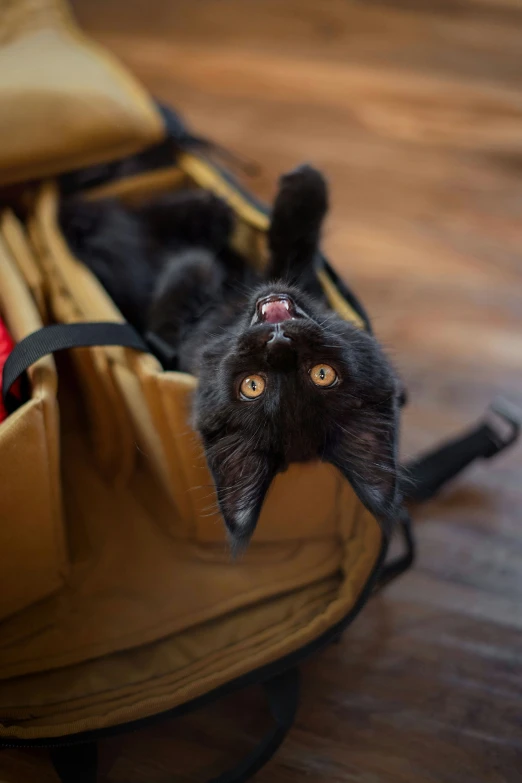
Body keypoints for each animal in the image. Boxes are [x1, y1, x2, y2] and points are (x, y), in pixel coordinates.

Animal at [61, 165, 402, 552]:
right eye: (252, 386)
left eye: (321, 374)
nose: (278, 342)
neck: (232, 313)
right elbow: (289, 254)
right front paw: (304, 189)